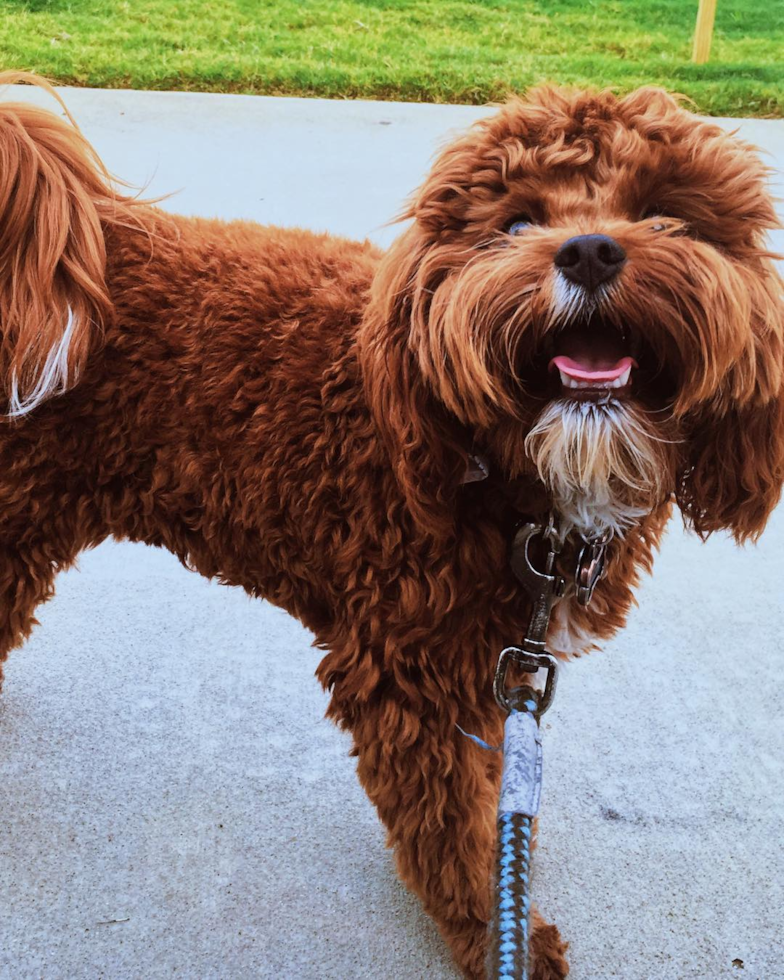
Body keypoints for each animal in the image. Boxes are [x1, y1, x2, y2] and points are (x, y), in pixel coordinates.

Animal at [1, 71, 784, 980]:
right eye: (515, 223)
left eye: (665, 214)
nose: (589, 250)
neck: (507, 476)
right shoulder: (409, 667)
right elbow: (446, 817)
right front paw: (493, 925)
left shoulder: (495, 658)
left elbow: (491, 776)